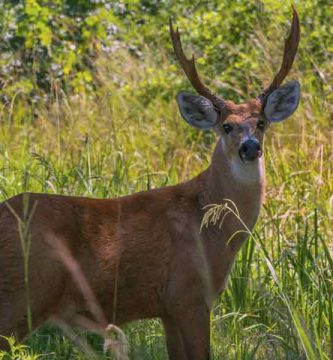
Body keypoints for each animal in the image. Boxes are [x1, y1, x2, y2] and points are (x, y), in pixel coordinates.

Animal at [0, 8, 300, 360]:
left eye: (262, 123)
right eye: (226, 126)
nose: (250, 147)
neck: (209, 225)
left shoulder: (167, 308)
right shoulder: (189, 295)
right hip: (21, 295)